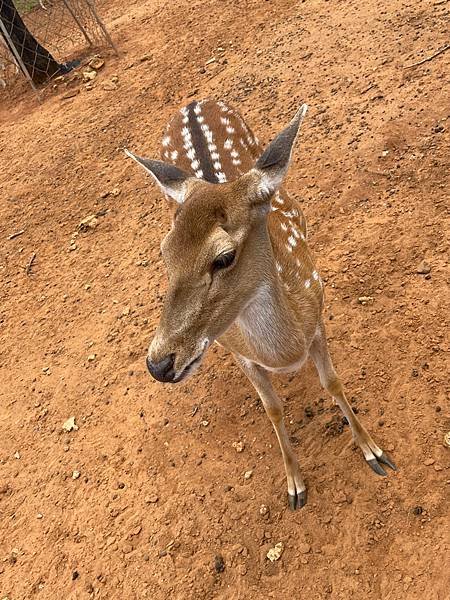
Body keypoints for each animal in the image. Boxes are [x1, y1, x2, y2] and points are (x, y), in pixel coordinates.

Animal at [125, 99, 396, 510]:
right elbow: (273, 409)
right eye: (165, 253)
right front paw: (295, 485)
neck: (287, 351)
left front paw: (374, 452)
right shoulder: (239, 352)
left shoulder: (317, 313)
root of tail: (192, 103)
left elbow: (332, 383)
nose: (159, 364)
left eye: (224, 257)